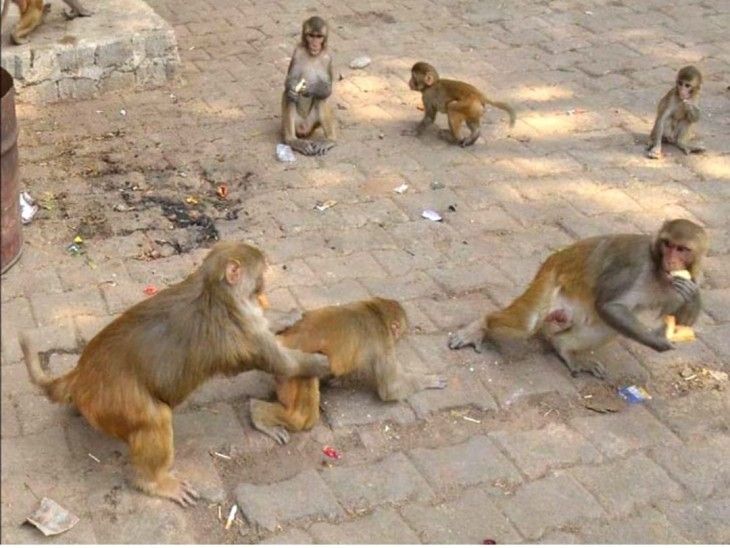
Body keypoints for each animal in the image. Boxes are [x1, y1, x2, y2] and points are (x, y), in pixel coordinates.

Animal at [20, 241, 330, 506]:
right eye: (262, 270)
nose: (266, 278)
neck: (214, 292)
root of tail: (81, 373)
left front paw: (288, 316)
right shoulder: (242, 329)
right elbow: (285, 364)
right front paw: (323, 362)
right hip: (116, 399)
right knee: (154, 417)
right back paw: (154, 482)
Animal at [250, 297, 448, 444]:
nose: (399, 337)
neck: (374, 310)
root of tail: (281, 343)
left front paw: (339, 379)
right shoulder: (383, 340)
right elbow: (390, 389)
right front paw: (428, 380)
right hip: (295, 369)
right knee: (301, 417)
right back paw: (257, 414)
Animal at [281, 15, 337, 156]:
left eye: (319, 36)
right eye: (311, 35)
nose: (315, 44)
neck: (313, 55)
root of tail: (304, 127)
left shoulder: (328, 57)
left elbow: (328, 89)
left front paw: (311, 89)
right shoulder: (297, 51)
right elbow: (290, 80)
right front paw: (292, 90)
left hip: (313, 123)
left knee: (322, 99)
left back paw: (330, 139)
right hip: (293, 124)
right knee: (287, 95)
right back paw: (292, 140)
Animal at [448, 219, 707, 379]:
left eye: (682, 249)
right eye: (667, 244)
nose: (671, 260)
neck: (657, 270)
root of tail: (556, 257)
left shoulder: (684, 281)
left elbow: (681, 321)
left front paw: (693, 297)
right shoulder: (635, 266)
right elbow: (609, 306)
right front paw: (658, 341)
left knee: (606, 327)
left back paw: (565, 349)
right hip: (548, 282)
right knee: (527, 323)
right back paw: (481, 325)